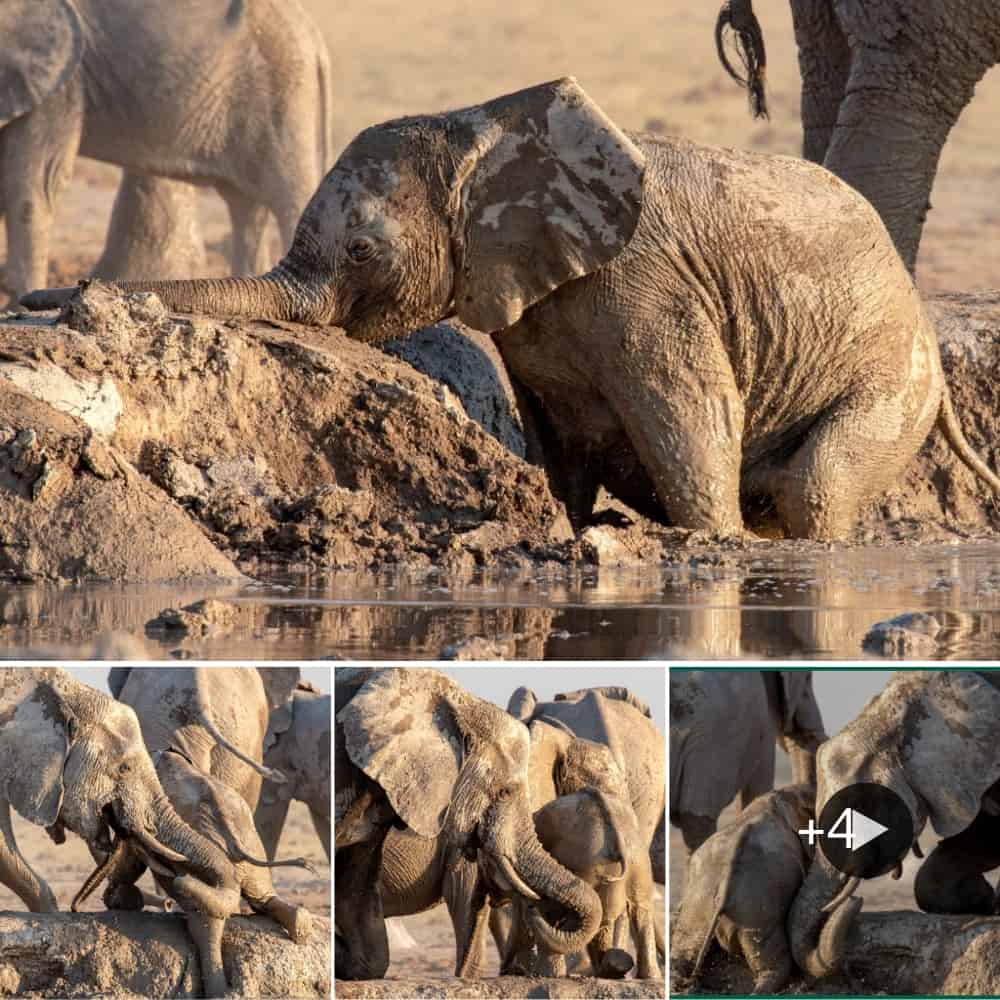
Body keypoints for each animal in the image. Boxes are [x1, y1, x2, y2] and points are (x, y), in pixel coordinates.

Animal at [0, 0, 332, 297]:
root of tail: (316, 40)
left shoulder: (63, 82)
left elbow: (33, 188)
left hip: (282, 91)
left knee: (291, 197)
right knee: (246, 208)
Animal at [26, 78, 1000, 539]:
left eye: (362, 252)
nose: (50, 296)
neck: (480, 126)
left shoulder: (650, 286)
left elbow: (693, 417)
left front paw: (712, 548)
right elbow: (557, 444)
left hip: (894, 380)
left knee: (817, 485)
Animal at [73, 746, 316, 998]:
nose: (75, 907)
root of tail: (227, 828)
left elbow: (131, 859)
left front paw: (119, 899)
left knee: (203, 921)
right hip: (249, 842)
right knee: (262, 897)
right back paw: (300, 928)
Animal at [670, 783, 854, 995]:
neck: (781, 796)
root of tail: (724, 890)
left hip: (701, 909)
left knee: (683, 954)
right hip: (759, 916)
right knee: (775, 968)